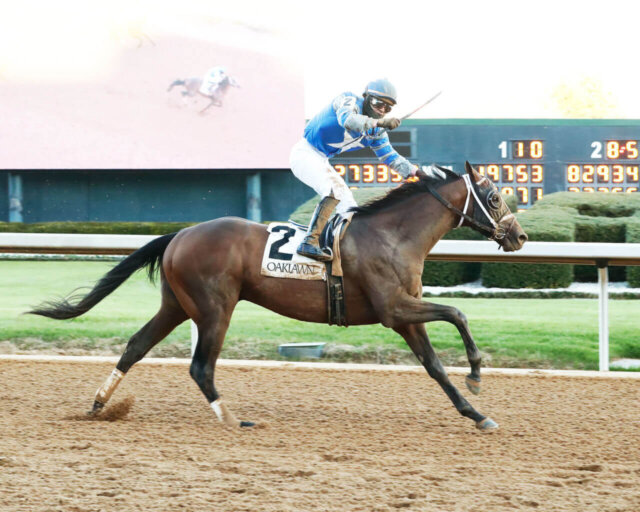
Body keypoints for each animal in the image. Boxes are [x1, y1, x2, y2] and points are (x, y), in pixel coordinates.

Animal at [28, 163, 524, 432]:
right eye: (494, 197)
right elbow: (457, 312)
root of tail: (180, 234)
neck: (393, 235)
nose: (519, 236)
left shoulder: (405, 316)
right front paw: (476, 374)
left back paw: (99, 405)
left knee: (135, 346)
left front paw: (476, 413)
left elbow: (435, 366)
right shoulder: (393, 308)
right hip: (214, 307)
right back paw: (233, 419)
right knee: (200, 366)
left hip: (177, 305)